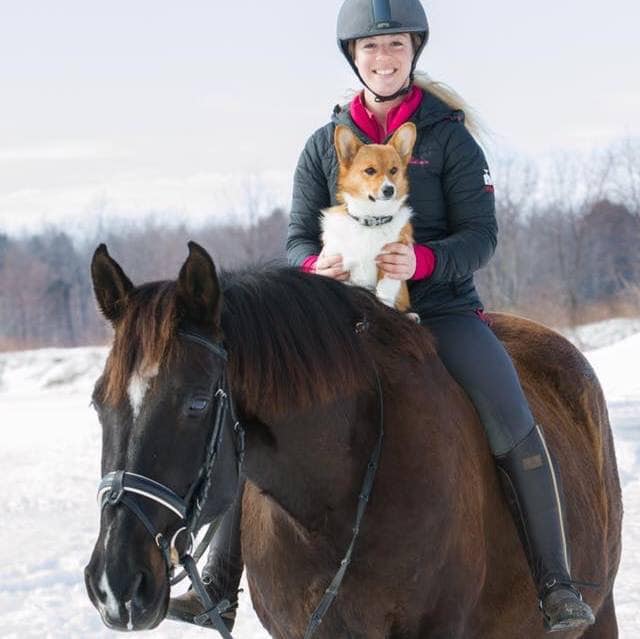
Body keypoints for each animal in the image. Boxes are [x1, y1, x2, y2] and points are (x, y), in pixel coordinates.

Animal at [318, 122, 416, 312]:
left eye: (394, 170)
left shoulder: (389, 267)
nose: (389, 190)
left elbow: (384, 296)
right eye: (370, 170)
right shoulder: (343, 267)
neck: (371, 220)